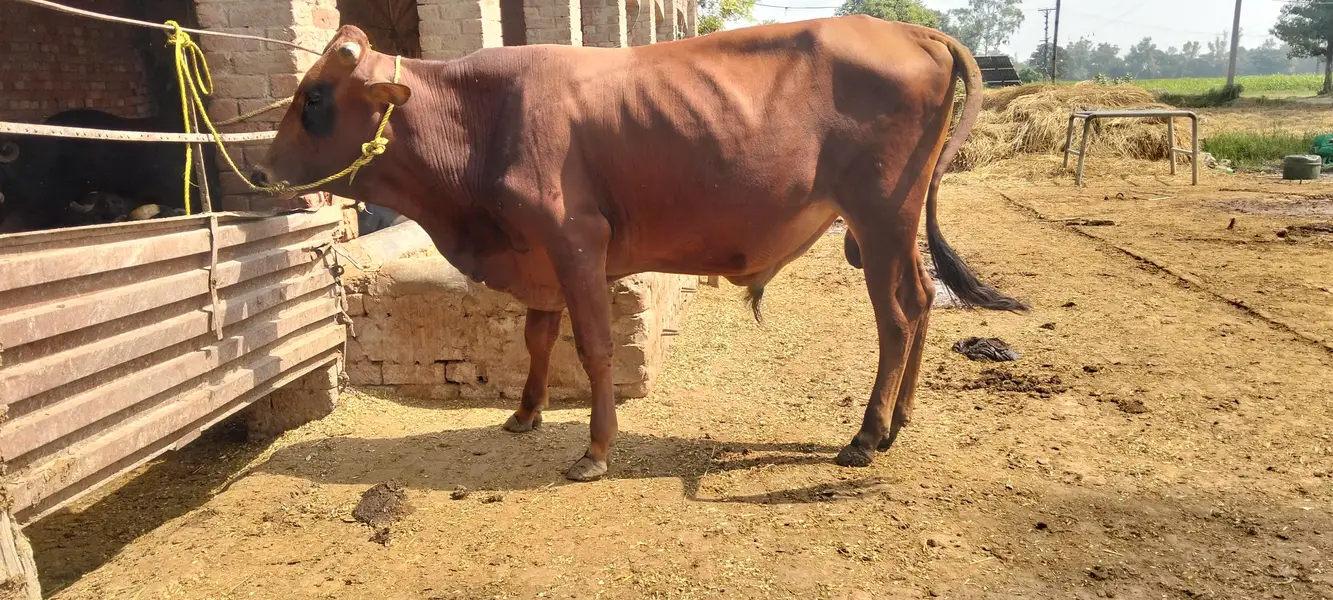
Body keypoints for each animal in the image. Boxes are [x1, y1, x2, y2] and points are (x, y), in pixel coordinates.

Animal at [251, 16, 1029, 482]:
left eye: (315, 97)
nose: (259, 170)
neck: (482, 119)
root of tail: (910, 29)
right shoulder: (538, 255)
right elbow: (537, 339)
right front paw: (525, 414)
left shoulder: (574, 241)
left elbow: (592, 346)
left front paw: (595, 449)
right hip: (894, 227)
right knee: (922, 302)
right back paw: (900, 418)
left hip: (879, 215)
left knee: (894, 320)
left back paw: (866, 436)